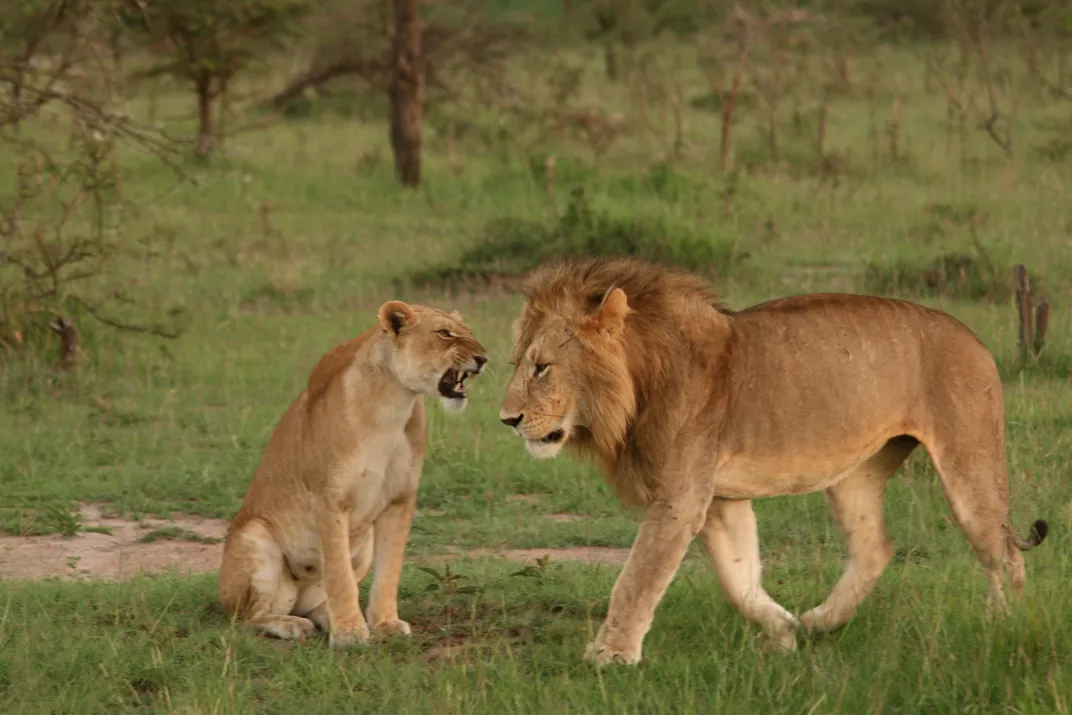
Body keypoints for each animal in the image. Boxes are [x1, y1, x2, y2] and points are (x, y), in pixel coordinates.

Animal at [218, 300, 488, 647]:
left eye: (469, 332)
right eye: (444, 333)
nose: (483, 358)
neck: (393, 403)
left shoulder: (401, 500)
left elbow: (388, 571)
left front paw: (384, 623)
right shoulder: (331, 500)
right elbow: (338, 574)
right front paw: (348, 632)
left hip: (364, 545)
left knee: (316, 603)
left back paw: (323, 617)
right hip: (255, 538)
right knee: (246, 618)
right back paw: (291, 624)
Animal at [498, 256, 1048, 666]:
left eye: (542, 367)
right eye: (518, 364)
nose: (507, 419)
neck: (638, 385)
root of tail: (973, 337)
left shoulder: (679, 497)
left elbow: (637, 577)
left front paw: (610, 655)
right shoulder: (719, 500)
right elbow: (738, 577)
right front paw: (782, 632)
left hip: (968, 462)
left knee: (1005, 554)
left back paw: (1006, 628)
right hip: (856, 475)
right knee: (876, 548)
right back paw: (820, 621)